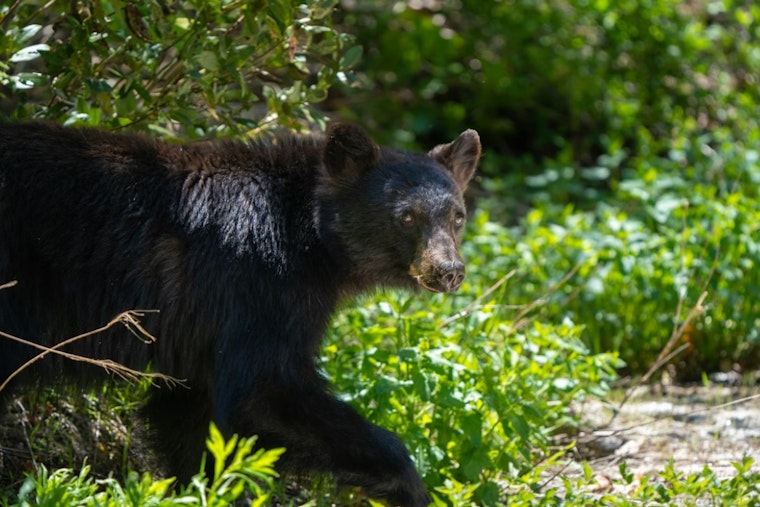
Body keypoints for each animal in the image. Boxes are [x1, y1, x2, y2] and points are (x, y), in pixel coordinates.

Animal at [0, 121, 480, 506]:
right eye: (406, 217)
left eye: (457, 216)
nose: (449, 270)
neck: (309, 236)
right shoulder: (257, 285)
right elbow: (263, 392)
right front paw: (409, 487)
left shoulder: (202, 331)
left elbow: (190, 417)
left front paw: (200, 489)